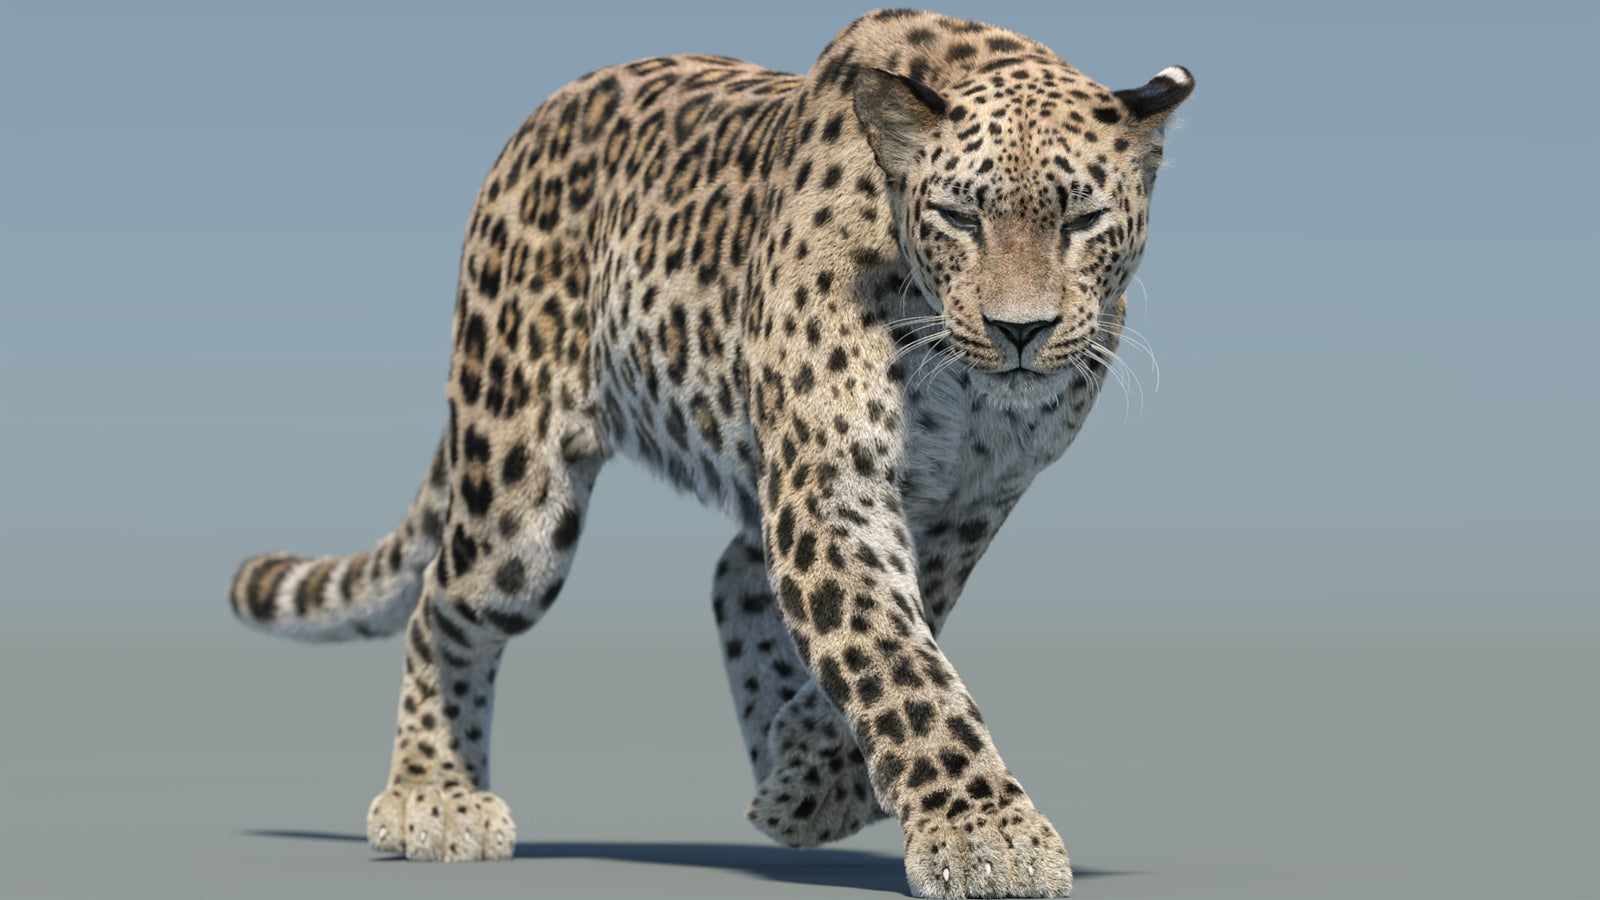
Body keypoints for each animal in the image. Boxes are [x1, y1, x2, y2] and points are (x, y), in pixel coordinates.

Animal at [229, 9, 1192, 898]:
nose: (1019, 331)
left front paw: (822, 767)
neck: (964, 383)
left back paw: (788, 772)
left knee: (734, 576)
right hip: (516, 490)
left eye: (1083, 220)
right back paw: (434, 797)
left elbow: (894, 632)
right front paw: (984, 833)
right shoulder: (829, 487)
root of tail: (538, 119)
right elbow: (895, 658)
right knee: (444, 600)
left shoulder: (965, 505)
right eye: (960, 216)